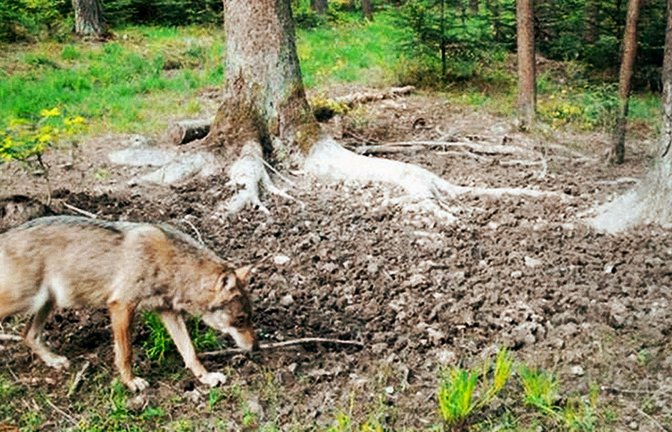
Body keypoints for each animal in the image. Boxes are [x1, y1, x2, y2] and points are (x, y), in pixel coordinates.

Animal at [0, 216, 256, 392]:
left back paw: (54, 360)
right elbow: (125, 353)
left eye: (249, 318)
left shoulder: (167, 311)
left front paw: (207, 378)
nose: (255, 348)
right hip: (25, 301)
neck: (172, 265)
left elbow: (190, 351)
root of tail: (5, 235)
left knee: (28, 335)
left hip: (46, 302)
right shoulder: (122, 306)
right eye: (241, 319)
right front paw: (131, 382)